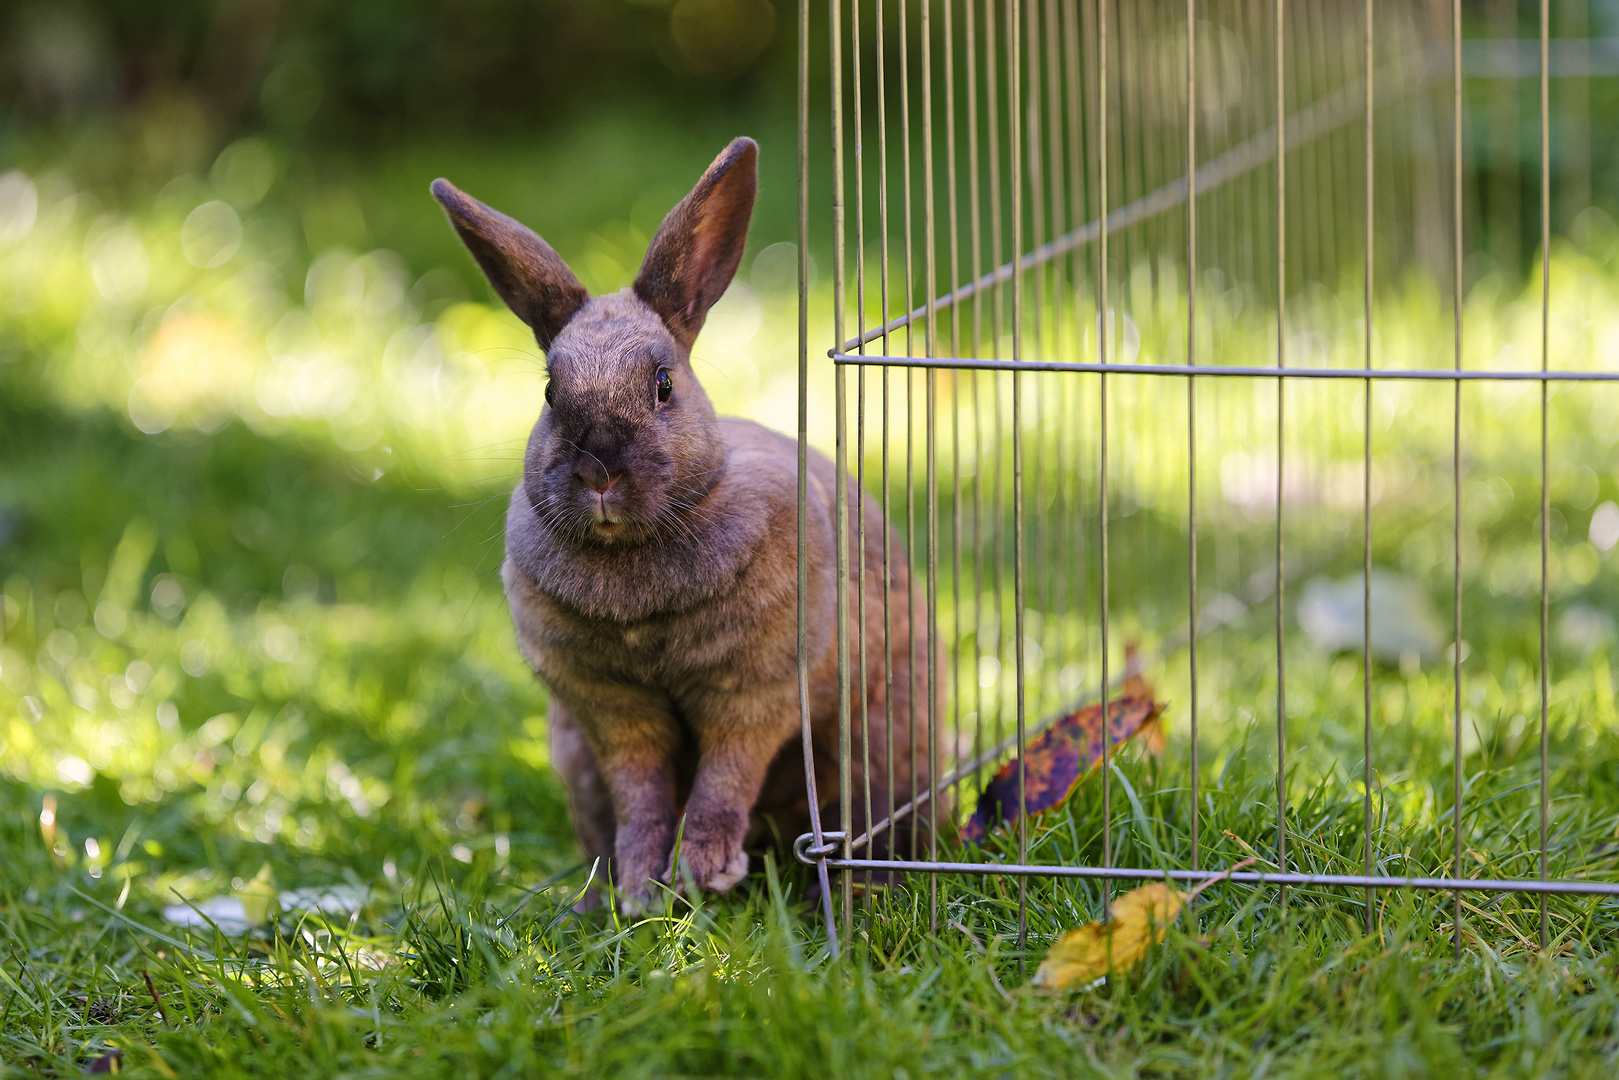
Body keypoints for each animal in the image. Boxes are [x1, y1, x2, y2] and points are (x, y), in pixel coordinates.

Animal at [433, 137, 939, 913]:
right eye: (550, 393)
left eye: (663, 386)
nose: (600, 475)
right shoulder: (611, 712)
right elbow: (641, 794)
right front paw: (645, 887)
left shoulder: (755, 691)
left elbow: (724, 778)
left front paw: (702, 871)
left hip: (877, 747)